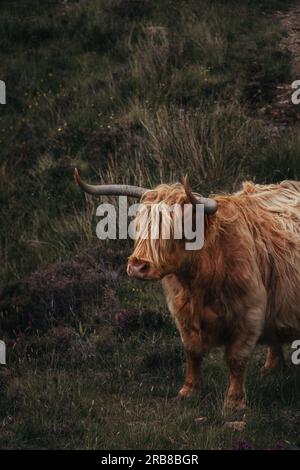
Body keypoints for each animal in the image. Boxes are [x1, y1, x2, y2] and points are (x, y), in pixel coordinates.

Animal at [74, 167, 300, 410]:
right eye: (138, 226)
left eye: (176, 230)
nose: (137, 266)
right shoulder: (181, 312)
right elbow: (192, 351)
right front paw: (188, 391)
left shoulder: (250, 313)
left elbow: (236, 359)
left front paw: (234, 402)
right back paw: (271, 368)